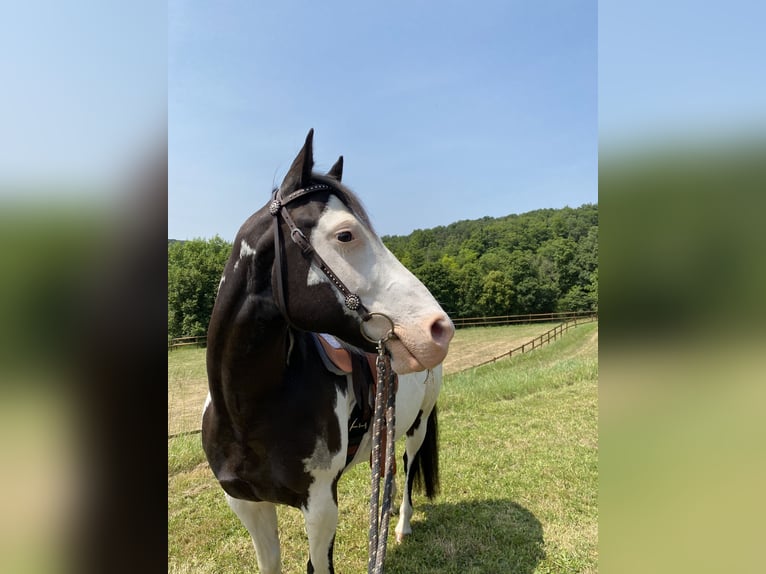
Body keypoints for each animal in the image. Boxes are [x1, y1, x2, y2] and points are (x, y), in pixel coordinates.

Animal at [201, 130, 454, 574]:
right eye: (345, 235)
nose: (438, 330)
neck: (247, 411)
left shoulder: (320, 507)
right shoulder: (246, 504)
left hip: (418, 426)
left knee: (407, 469)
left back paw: (401, 524)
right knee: (387, 467)